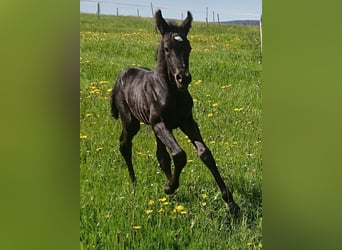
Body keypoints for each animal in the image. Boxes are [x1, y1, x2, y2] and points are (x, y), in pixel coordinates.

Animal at [111, 9, 239, 216]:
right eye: (167, 48)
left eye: (189, 47)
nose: (183, 78)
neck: (171, 91)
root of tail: (121, 75)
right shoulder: (160, 123)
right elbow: (179, 155)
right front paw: (169, 187)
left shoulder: (187, 121)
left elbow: (205, 153)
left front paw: (232, 204)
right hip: (131, 122)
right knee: (124, 144)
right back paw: (135, 182)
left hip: (156, 129)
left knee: (161, 156)